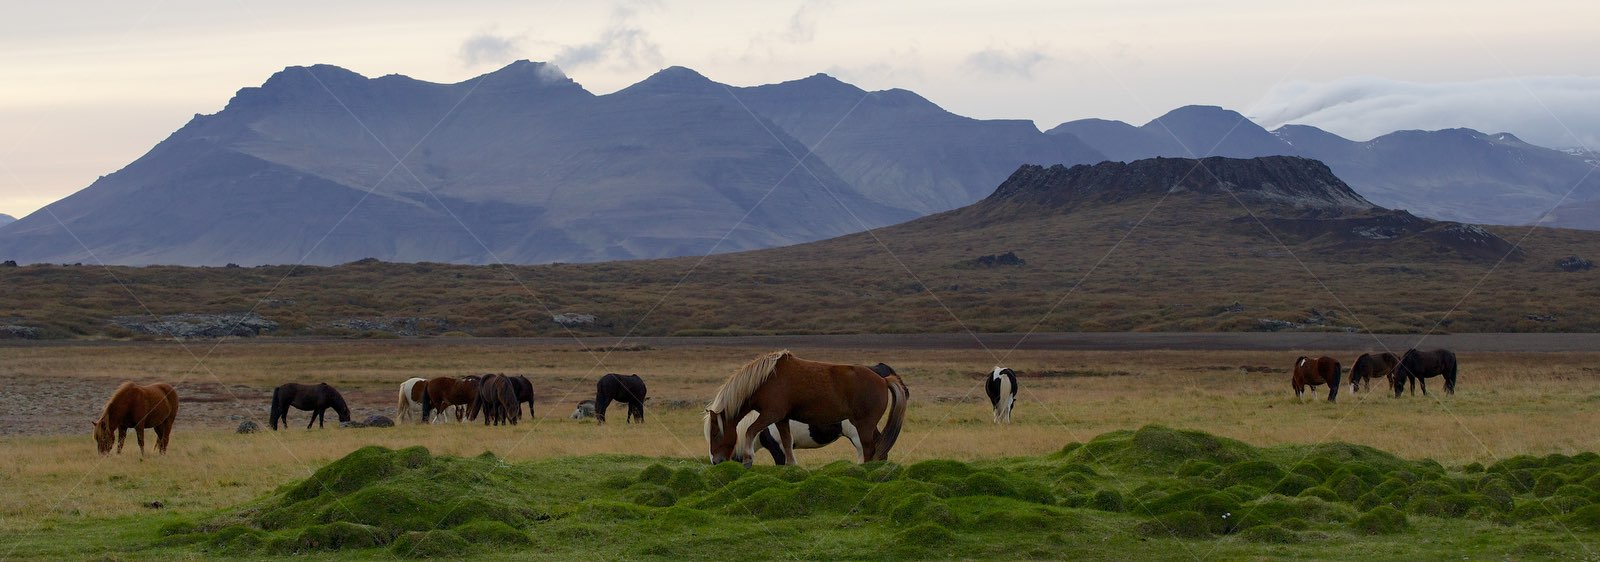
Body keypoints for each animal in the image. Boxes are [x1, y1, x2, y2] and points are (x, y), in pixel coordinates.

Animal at [704, 350, 910, 467]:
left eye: (715, 433)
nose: (716, 461)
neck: (766, 380)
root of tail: (883, 379)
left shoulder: (770, 415)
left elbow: (749, 430)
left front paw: (748, 459)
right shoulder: (782, 419)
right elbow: (787, 442)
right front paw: (793, 467)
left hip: (863, 426)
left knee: (868, 449)